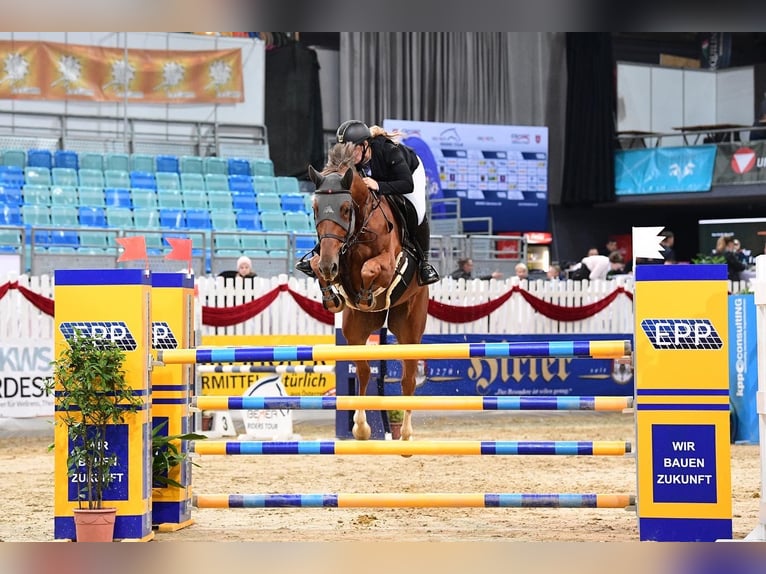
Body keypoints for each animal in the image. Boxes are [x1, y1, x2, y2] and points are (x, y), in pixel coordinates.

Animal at [308, 142, 432, 444]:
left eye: (344, 209)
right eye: (316, 209)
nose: (330, 266)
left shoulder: (387, 264)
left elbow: (369, 269)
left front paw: (366, 293)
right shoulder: (331, 257)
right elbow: (316, 264)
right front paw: (332, 296)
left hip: (409, 326)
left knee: (408, 378)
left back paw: (405, 434)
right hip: (356, 327)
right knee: (363, 371)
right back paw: (361, 428)